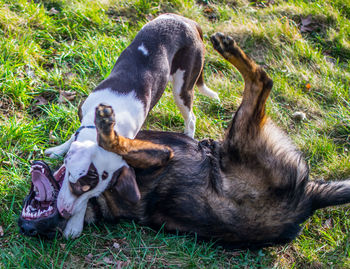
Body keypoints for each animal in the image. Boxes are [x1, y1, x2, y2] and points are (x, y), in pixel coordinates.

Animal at [19, 33, 350, 247]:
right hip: (239, 133)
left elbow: (106, 143)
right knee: (261, 82)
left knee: (247, 87)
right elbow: (91, 141)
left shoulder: (155, 152)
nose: (25, 226)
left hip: (210, 110)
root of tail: (307, 201)